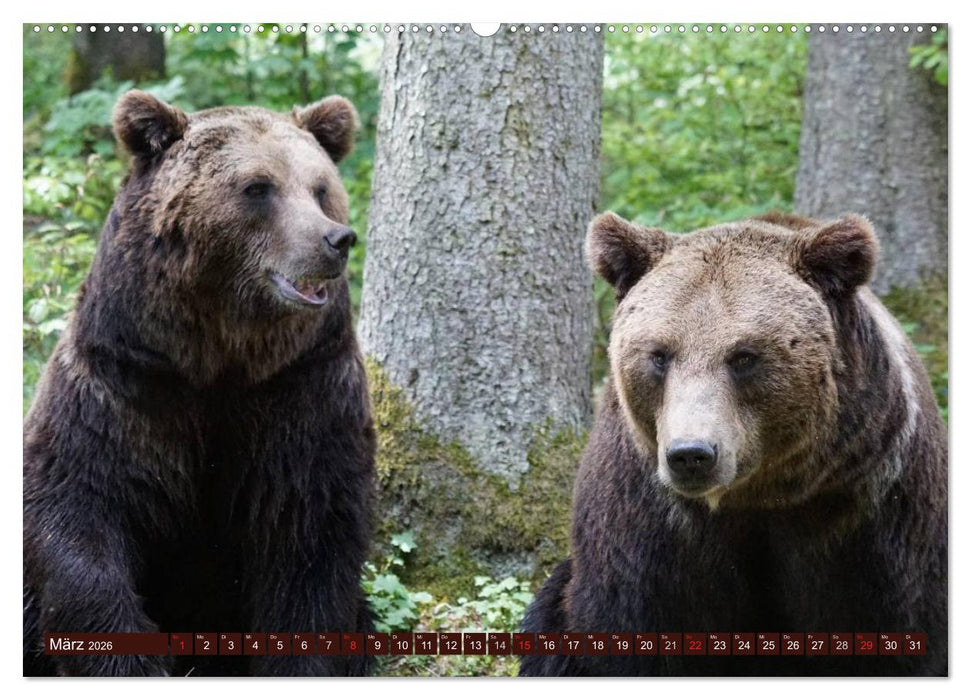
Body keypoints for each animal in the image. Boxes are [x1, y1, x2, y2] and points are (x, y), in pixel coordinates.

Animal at [23, 90, 375, 676]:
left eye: (321, 188)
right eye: (258, 187)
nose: (336, 239)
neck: (217, 357)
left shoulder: (303, 388)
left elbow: (312, 530)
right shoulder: (122, 384)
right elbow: (75, 506)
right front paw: (133, 660)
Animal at [520, 211, 947, 676]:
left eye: (744, 356)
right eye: (659, 354)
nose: (691, 455)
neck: (759, 496)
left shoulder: (868, 501)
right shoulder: (650, 516)